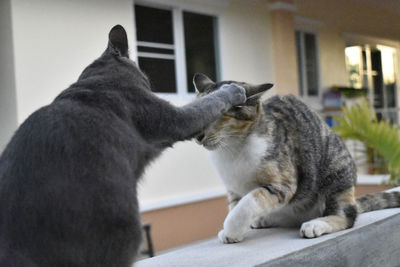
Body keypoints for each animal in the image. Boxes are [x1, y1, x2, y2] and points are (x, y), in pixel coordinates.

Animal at [0, 25, 248, 267]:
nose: (151, 83)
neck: (98, 80)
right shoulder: (171, 118)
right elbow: (207, 104)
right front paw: (232, 90)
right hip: (124, 225)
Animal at [194, 73, 400, 245]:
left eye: (219, 115)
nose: (198, 135)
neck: (232, 149)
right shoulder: (233, 188)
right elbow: (235, 205)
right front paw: (234, 231)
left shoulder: (283, 182)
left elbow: (248, 202)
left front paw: (231, 230)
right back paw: (265, 219)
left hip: (336, 174)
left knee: (347, 216)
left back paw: (316, 224)